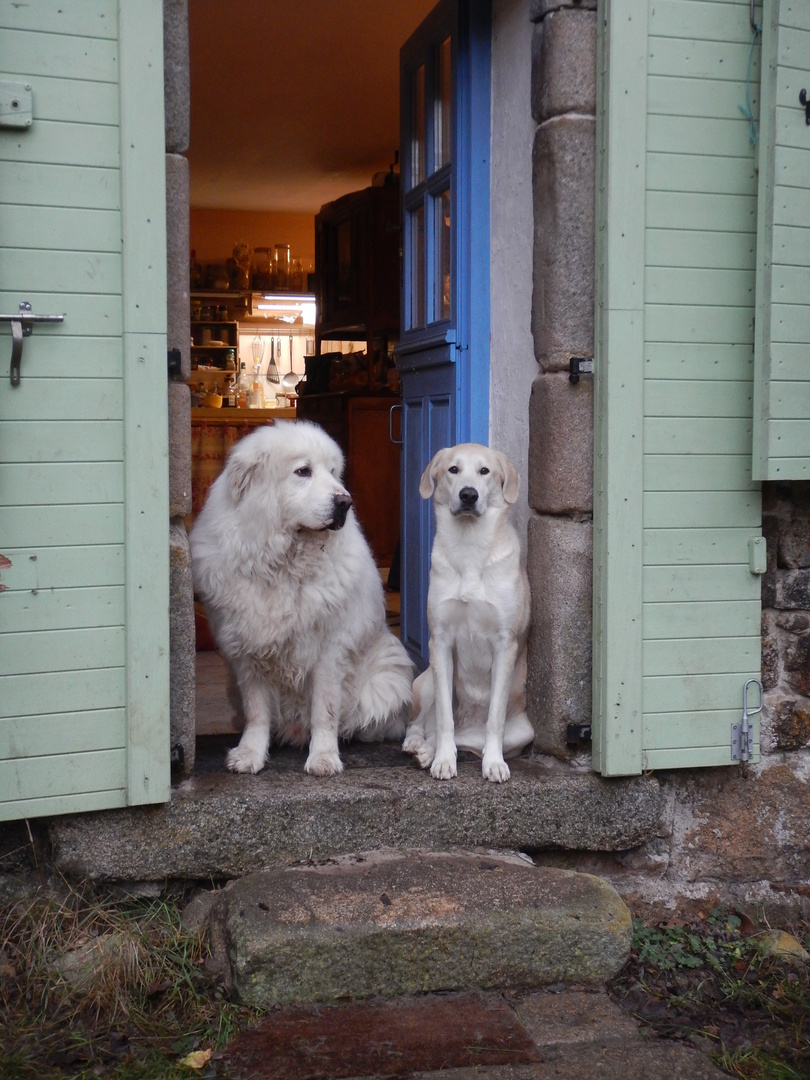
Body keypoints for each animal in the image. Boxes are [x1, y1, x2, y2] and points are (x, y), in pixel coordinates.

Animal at [192, 419, 412, 777]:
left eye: (333, 472)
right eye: (303, 471)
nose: (345, 502)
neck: (284, 564)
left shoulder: (328, 652)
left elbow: (324, 711)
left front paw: (323, 757)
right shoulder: (246, 652)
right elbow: (257, 712)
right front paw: (250, 754)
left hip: (386, 679)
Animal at [403, 442, 535, 781]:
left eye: (484, 471)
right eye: (453, 469)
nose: (468, 495)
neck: (469, 546)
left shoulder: (505, 645)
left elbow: (494, 719)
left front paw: (494, 764)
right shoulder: (440, 641)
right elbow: (444, 718)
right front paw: (443, 760)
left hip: (523, 732)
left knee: (469, 739)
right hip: (424, 682)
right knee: (421, 725)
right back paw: (419, 747)